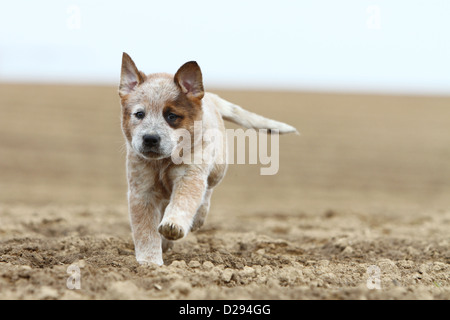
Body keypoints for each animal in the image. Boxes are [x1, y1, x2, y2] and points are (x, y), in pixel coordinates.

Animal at [118, 53, 298, 264]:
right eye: (139, 114)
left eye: (171, 116)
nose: (150, 138)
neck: (164, 162)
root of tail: (210, 97)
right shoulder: (142, 189)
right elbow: (145, 230)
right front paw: (149, 263)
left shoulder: (190, 175)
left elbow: (184, 201)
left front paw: (173, 225)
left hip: (217, 168)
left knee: (207, 191)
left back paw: (196, 219)